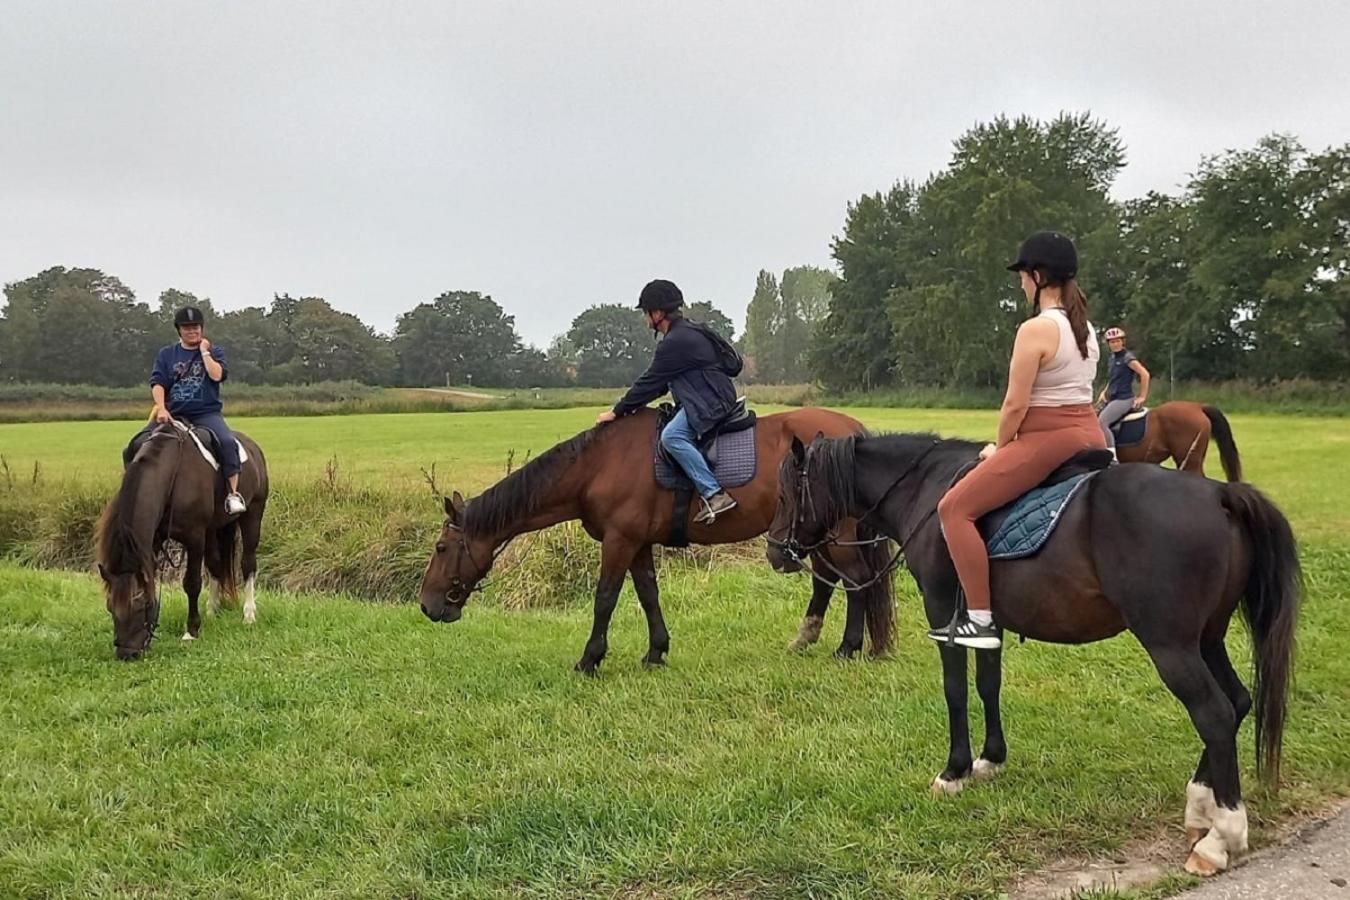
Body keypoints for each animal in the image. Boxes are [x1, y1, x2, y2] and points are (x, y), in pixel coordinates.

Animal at [94, 423, 268, 661]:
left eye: (140, 605)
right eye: (110, 607)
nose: (127, 654)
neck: (169, 475)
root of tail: (253, 447)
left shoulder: (194, 537)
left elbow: (192, 583)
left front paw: (191, 631)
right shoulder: (154, 539)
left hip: (253, 513)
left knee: (248, 564)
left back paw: (249, 614)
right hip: (213, 528)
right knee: (215, 565)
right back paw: (212, 610)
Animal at [413, 407, 896, 669]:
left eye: (441, 548)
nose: (427, 605)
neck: (597, 465)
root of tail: (853, 432)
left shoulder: (619, 541)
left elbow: (605, 598)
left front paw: (590, 658)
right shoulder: (638, 544)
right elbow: (648, 594)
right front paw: (656, 652)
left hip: (832, 535)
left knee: (854, 582)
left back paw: (848, 647)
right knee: (828, 583)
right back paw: (808, 639)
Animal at [766, 431, 1301, 874]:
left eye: (788, 493)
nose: (774, 551)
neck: (927, 491)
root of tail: (1219, 494)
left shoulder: (942, 608)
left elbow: (956, 689)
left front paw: (955, 770)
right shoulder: (986, 620)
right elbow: (988, 683)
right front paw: (990, 759)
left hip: (1171, 644)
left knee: (1213, 713)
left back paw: (1221, 837)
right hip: (1206, 639)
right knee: (1236, 702)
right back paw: (1200, 808)